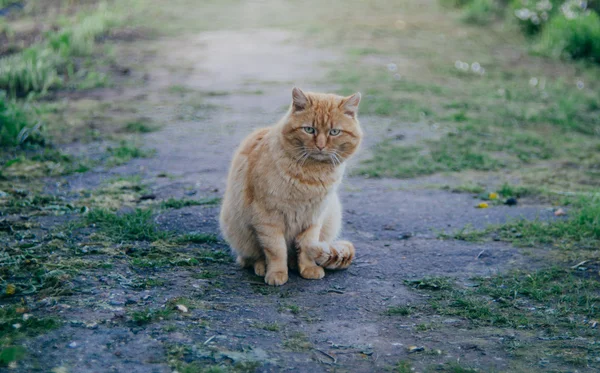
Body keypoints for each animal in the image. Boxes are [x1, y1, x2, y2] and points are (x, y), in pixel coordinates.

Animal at [219, 86, 360, 284]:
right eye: (309, 129)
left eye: (334, 132)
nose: (320, 146)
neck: (311, 175)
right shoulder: (267, 218)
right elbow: (276, 250)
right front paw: (277, 273)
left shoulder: (313, 218)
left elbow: (307, 247)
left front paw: (308, 268)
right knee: (250, 258)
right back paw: (262, 267)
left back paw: (293, 263)